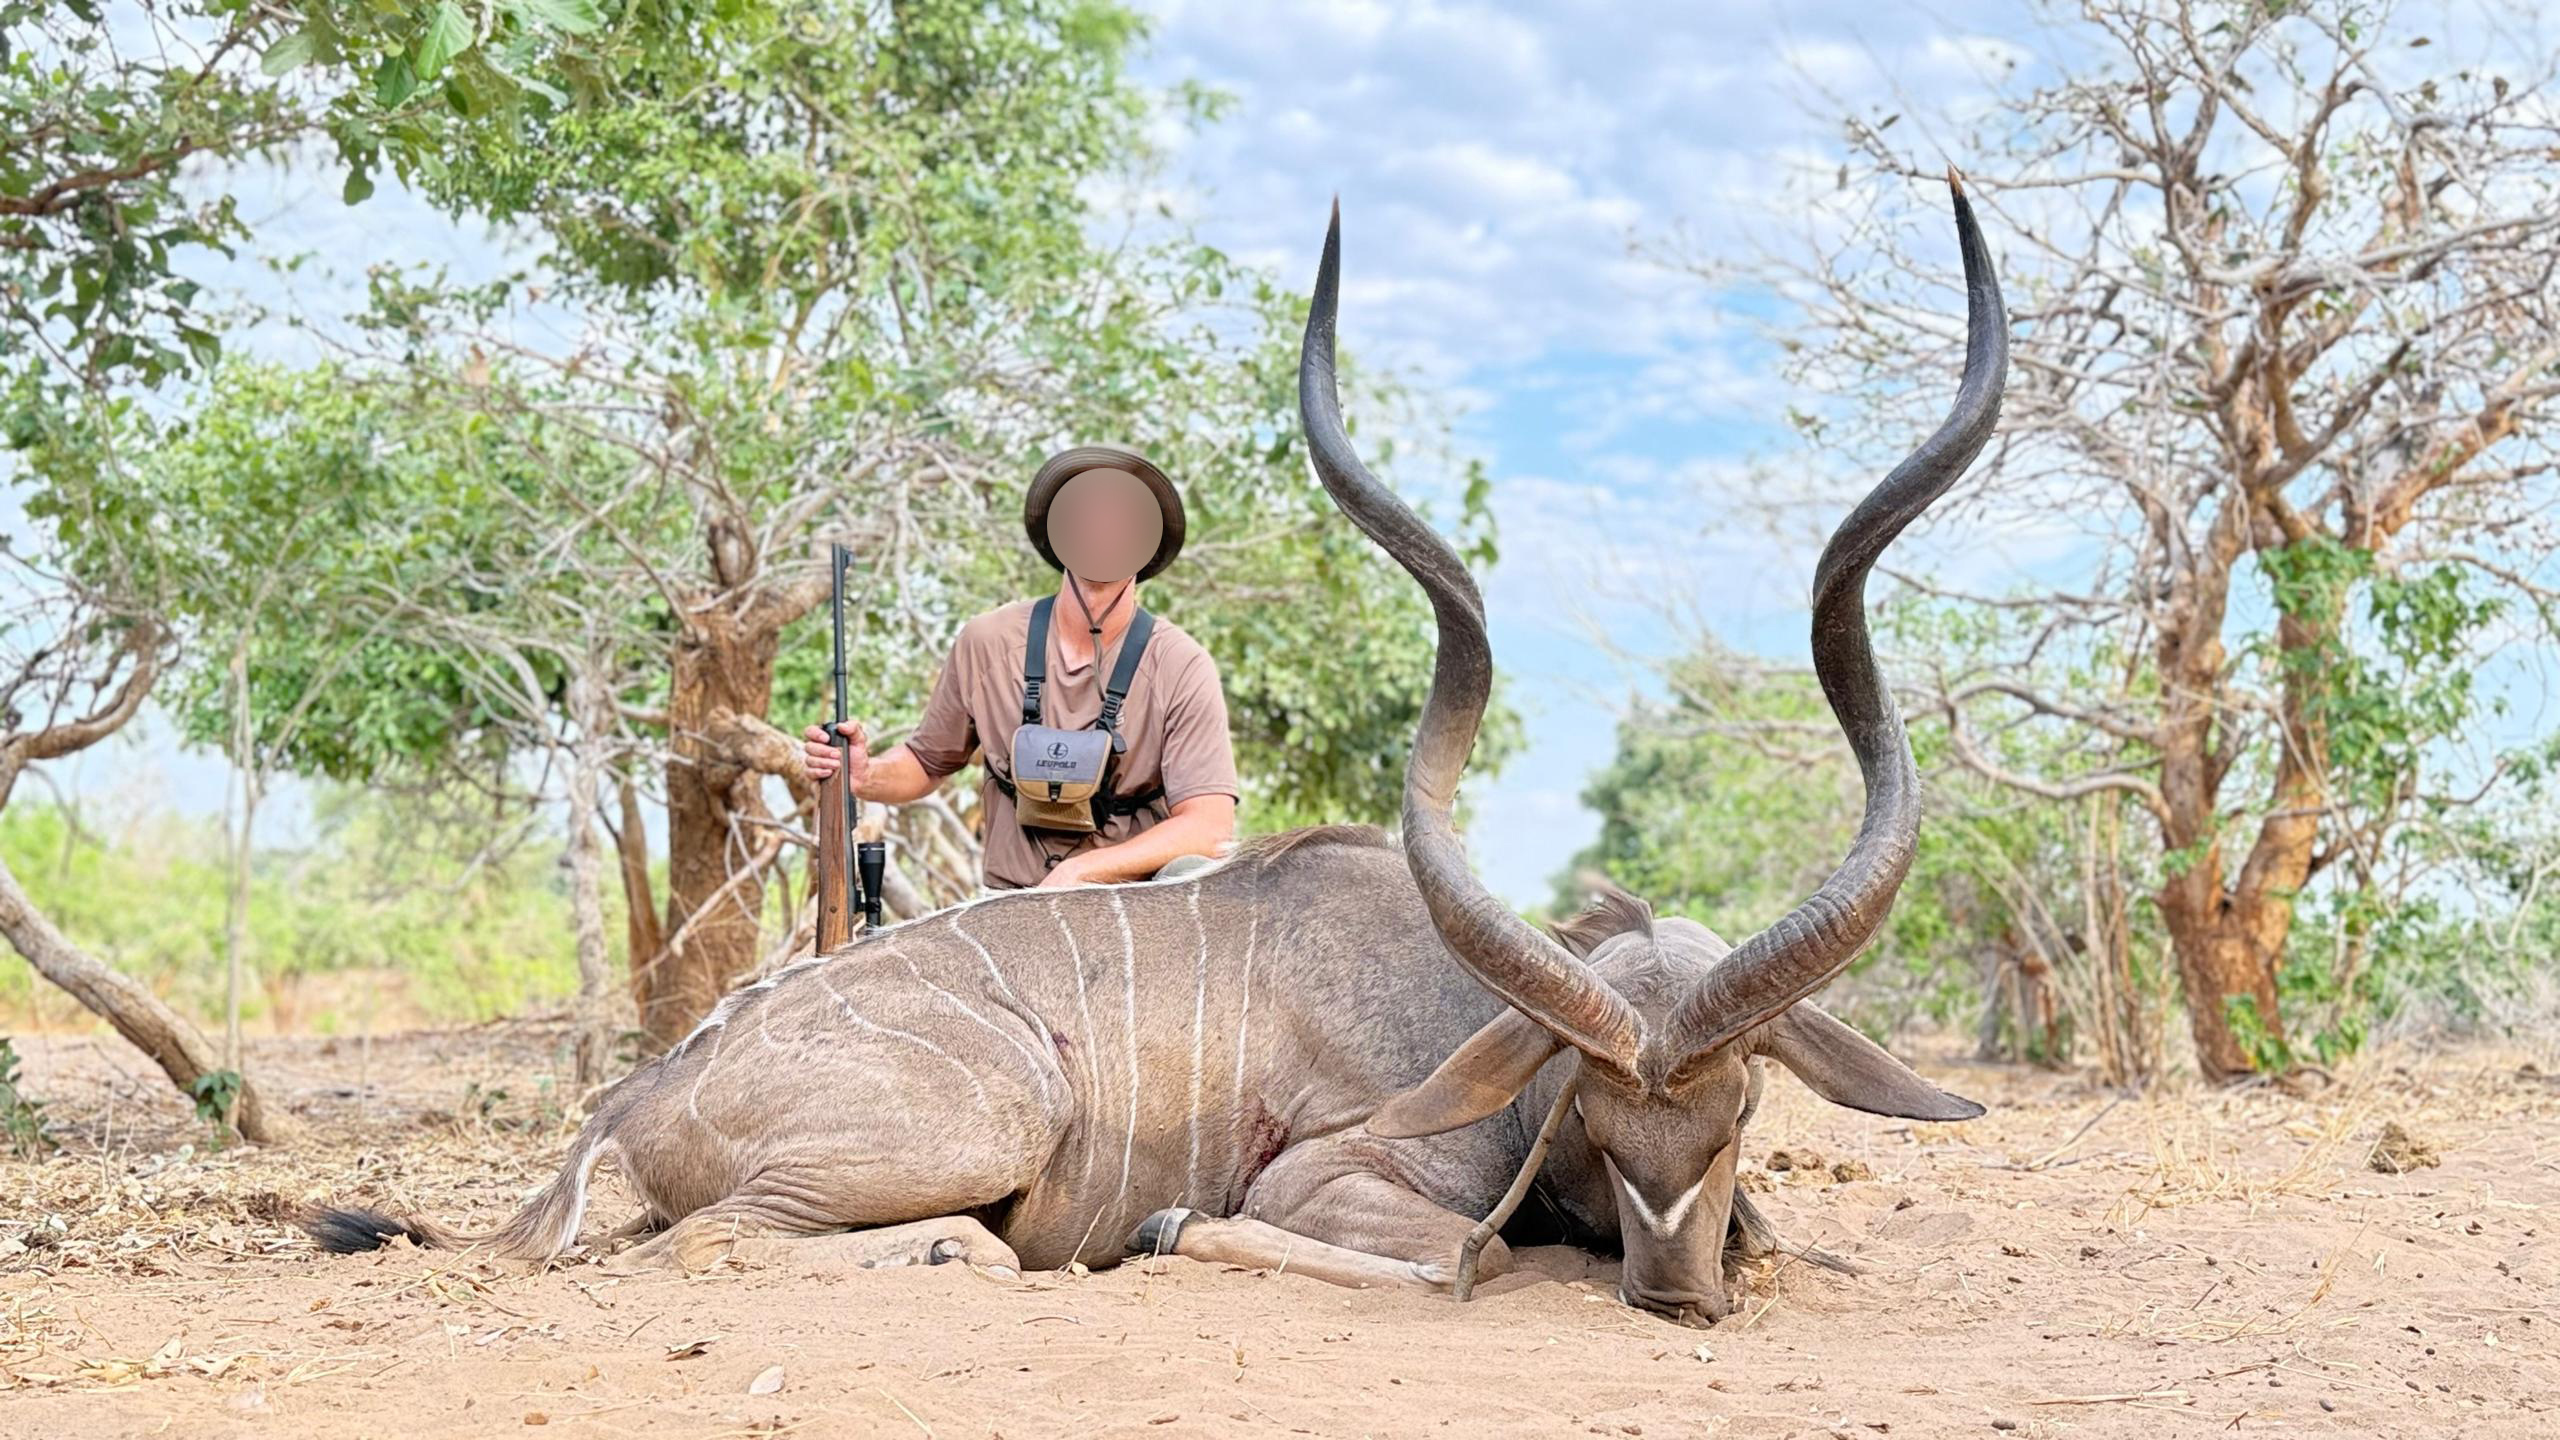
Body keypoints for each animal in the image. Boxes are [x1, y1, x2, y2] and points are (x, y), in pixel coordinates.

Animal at [306, 175, 2004, 1328]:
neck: (1463, 1018)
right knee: (732, 1236)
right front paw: (1180, 1235)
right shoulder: (1338, 1180)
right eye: (1588, 1107)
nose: (1677, 1287)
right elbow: (1453, 1260)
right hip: (990, 1114)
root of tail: (629, 1106)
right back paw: (974, 1246)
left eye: (1750, 1105)